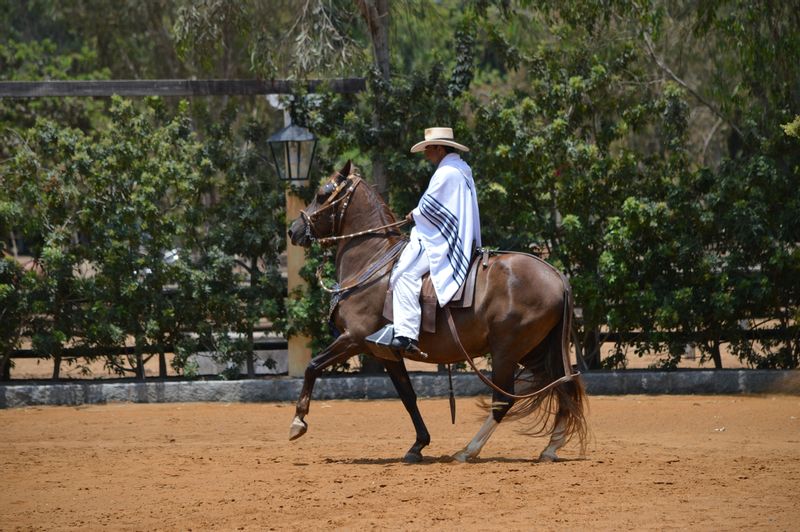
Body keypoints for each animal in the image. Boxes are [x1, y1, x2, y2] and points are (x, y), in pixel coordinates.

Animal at [288, 161, 588, 462]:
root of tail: (556, 275)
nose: (294, 229)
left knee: (504, 399)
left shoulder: (354, 338)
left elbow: (312, 366)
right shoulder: (385, 353)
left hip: (507, 351)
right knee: (563, 384)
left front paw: (298, 421)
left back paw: (469, 450)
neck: (373, 262)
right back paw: (550, 447)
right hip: (536, 350)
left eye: (322, 193)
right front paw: (418, 445)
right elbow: (408, 397)